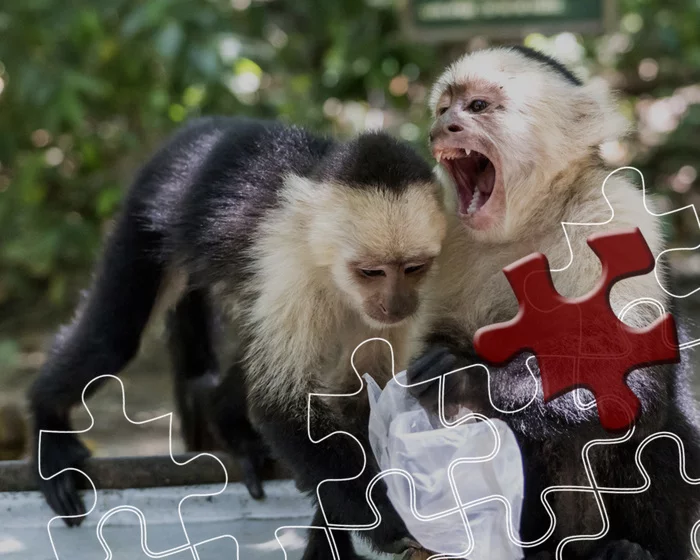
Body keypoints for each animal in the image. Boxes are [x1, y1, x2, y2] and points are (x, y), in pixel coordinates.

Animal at [28, 115, 449, 559]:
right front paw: (389, 521)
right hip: (151, 204)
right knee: (112, 340)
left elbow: (361, 400)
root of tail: (204, 126)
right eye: (371, 272)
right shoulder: (293, 273)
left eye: (414, 268)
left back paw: (224, 418)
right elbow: (282, 407)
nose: (397, 303)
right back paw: (48, 426)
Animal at [406, 46, 700, 560]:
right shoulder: (448, 241)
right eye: (443, 109)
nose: (444, 127)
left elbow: (625, 375)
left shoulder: (614, 213)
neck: (532, 218)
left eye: (477, 107)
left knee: (657, 426)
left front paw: (463, 378)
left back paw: (632, 548)